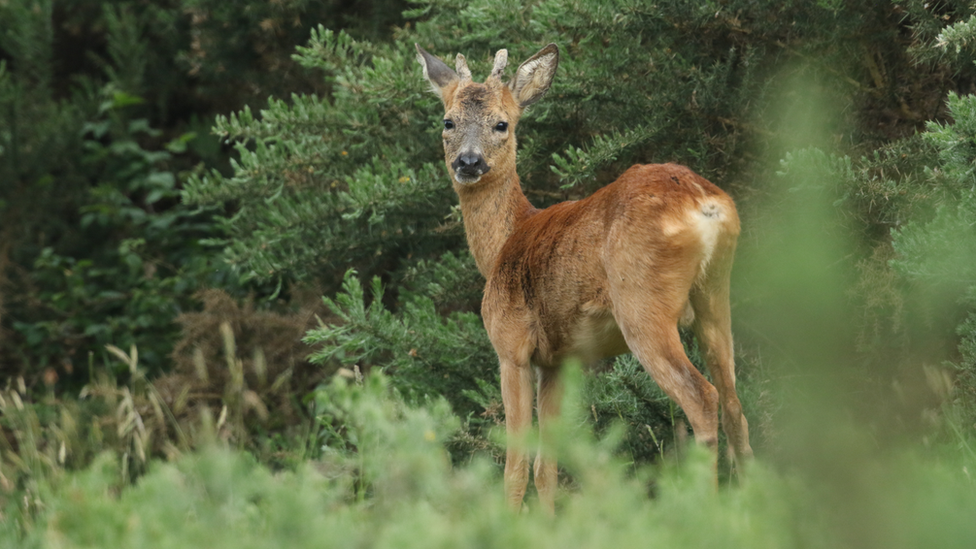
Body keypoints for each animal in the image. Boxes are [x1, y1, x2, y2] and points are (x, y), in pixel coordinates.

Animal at [416, 40, 752, 512]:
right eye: (448, 120)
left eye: (502, 123)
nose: (468, 161)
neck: (504, 242)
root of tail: (705, 204)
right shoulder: (557, 361)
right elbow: (547, 466)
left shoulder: (511, 346)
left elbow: (516, 465)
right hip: (715, 296)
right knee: (736, 404)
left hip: (642, 305)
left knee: (703, 397)